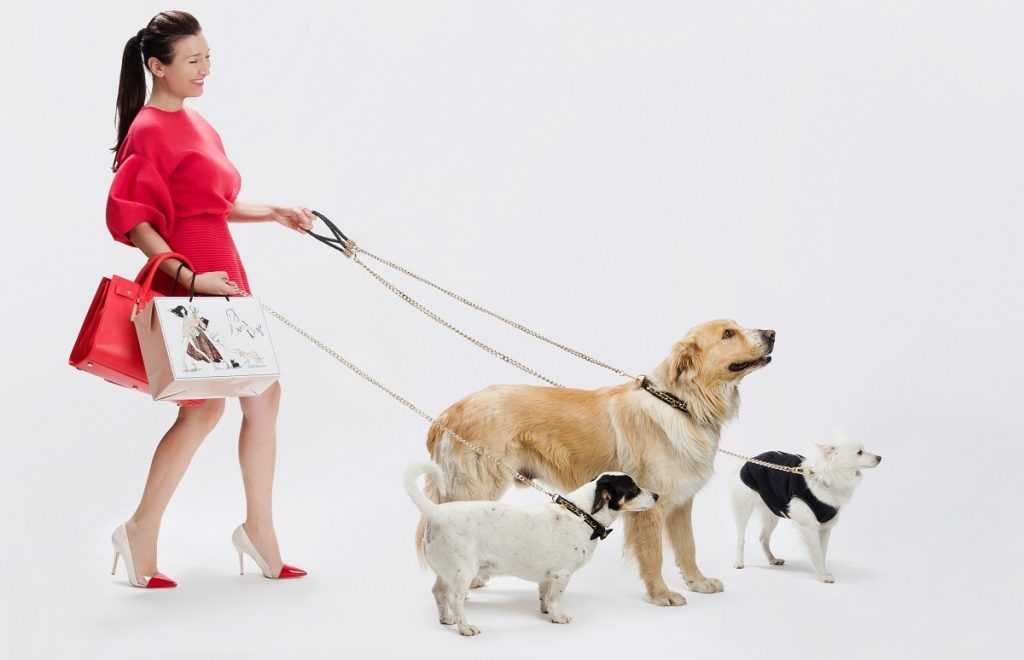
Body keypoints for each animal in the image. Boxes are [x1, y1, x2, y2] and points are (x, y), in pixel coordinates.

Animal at [406, 462, 658, 635]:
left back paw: (446, 619)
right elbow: (555, 598)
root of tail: (436, 511)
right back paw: (465, 628)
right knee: (455, 600)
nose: (657, 495)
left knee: (438, 593)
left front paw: (545, 611)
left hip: (445, 571)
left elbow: (544, 595)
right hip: (463, 573)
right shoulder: (562, 575)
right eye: (634, 488)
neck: (581, 515)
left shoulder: (548, 576)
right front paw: (557, 616)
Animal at [417, 319, 775, 606]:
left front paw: (698, 582)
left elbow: (688, 547)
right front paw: (661, 594)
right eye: (728, 333)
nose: (773, 333)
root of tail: (446, 415)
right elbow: (655, 555)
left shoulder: (682, 502)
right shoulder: (651, 506)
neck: (681, 403)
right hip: (476, 488)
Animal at [729, 441, 881, 582]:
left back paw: (772, 559)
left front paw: (822, 571)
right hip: (742, 510)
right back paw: (739, 562)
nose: (880, 457)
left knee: (763, 538)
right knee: (740, 538)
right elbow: (816, 552)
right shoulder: (809, 527)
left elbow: (822, 552)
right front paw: (823, 576)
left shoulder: (825, 528)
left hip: (772, 513)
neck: (824, 479)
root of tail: (747, 462)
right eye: (859, 452)